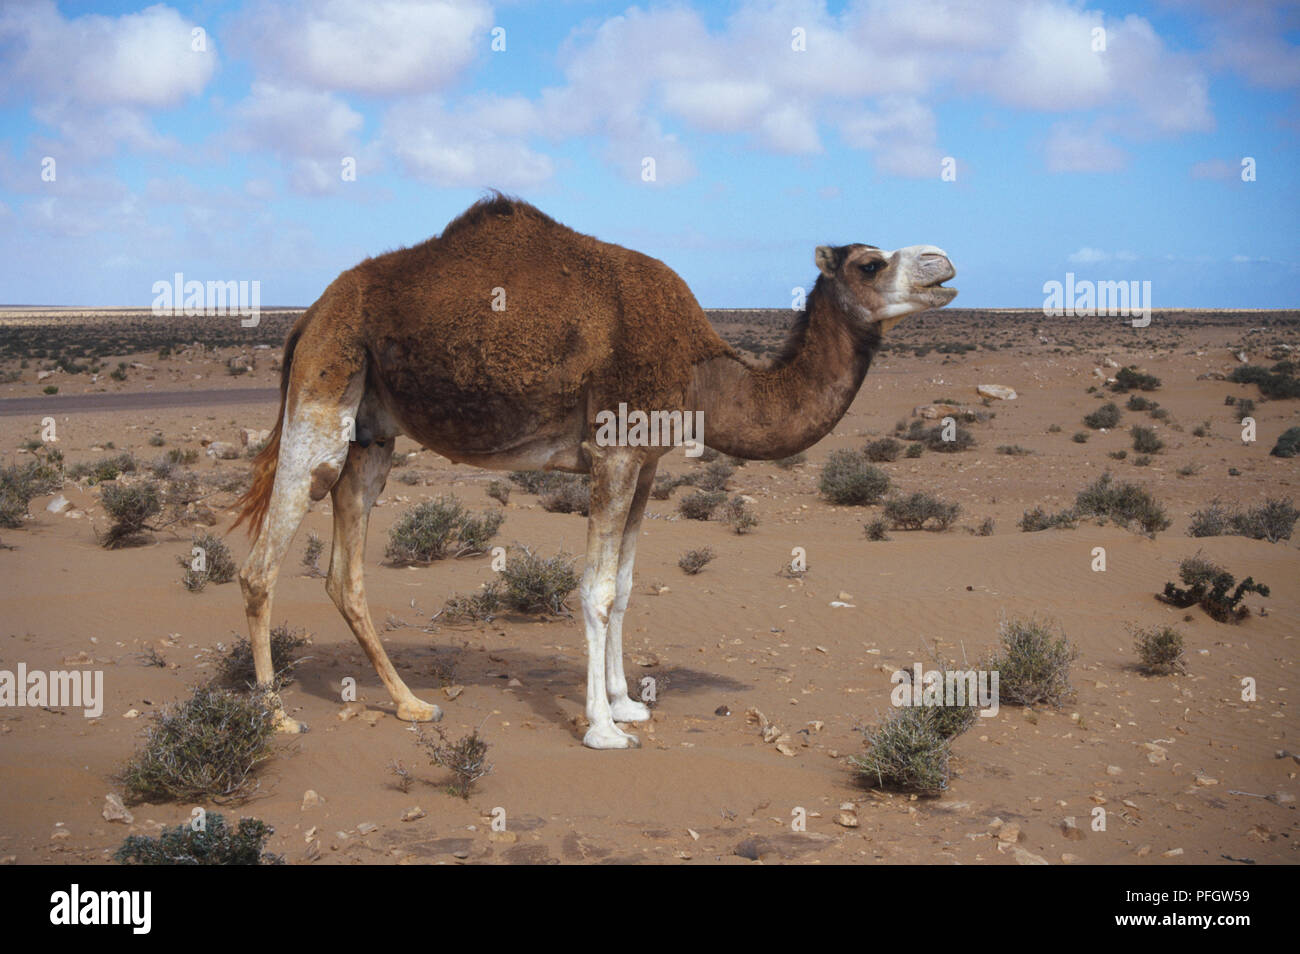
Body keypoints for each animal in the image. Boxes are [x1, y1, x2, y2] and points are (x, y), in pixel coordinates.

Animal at [232, 193, 956, 749]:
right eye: (870, 262)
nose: (944, 262)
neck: (705, 374)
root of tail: (308, 317)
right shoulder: (615, 449)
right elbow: (597, 590)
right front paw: (603, 728)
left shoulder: (649, 460)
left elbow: (628, 583)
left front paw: (627, 701)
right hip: (325, 389)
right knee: (262, 564)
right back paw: (276, 716)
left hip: (372, 435)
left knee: (343, 574)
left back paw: (411, 702)